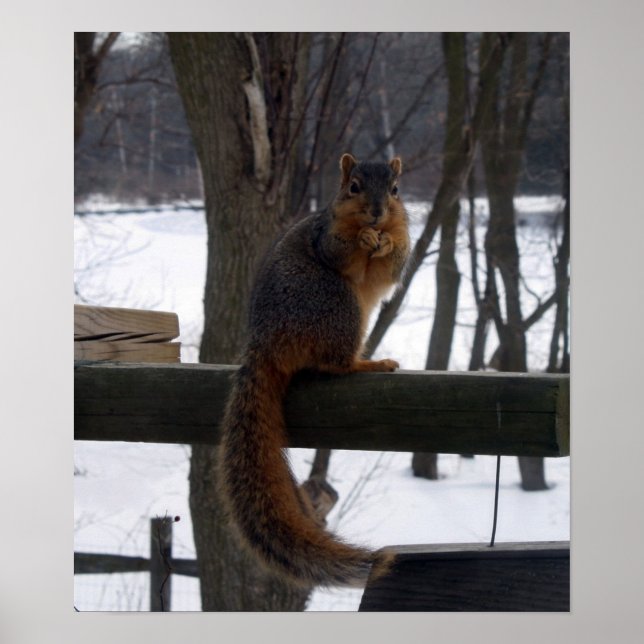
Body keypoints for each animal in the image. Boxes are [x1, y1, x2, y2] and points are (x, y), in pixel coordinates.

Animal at [218, 153, 411, 587]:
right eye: (353, 187)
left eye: (395, 190)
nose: (376, 213)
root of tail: (266, 341)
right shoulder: (327, 235)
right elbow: (339, 250)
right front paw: (362, 240)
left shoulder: (399, 238)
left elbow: (393, 264)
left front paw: (387, 243)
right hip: (335, 303)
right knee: (336, 363)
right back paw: (369, 363)